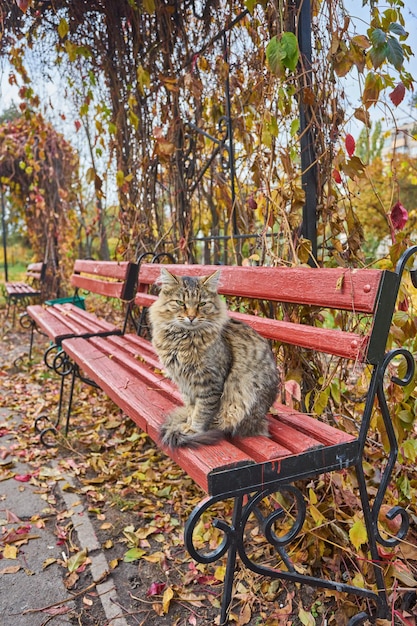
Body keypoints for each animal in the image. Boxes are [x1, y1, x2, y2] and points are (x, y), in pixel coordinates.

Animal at [148, 266, 278, 446]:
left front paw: (193, 430)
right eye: (180, 303)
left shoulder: (209, 383)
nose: (191, 317)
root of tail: (262, 421)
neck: (182, 339)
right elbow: (191, 408)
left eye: (202, 304)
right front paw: (187, 424)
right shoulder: (185, 384)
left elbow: (202, 411)